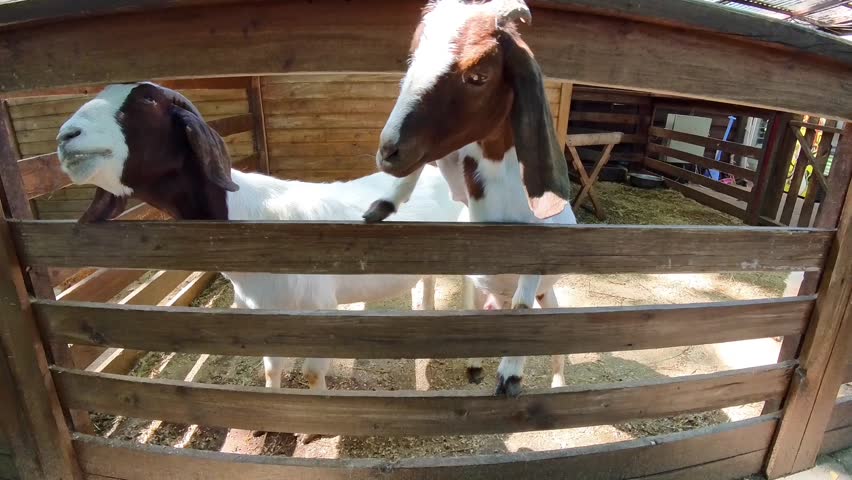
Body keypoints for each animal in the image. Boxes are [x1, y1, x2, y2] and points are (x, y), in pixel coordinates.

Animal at [55, 82, 465, 400]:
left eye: (147, 101)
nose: (65, 137)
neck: (250, 217)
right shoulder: (266, 315)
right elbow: (271, 369)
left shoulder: (320, 310)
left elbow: (313, 373)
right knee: (427, 284)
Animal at [363, 0, 575, 396]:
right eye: (412, 58)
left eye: (478, 76)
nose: (388, 152)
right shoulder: (458, 171)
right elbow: (425, 162)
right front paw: (383, 205)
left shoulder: (538, 248)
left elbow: (523, 306)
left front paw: (510, 376)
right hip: (478, 290)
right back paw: (475, 363)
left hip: (550, 301)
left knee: (552, 344)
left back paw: (556, 383)